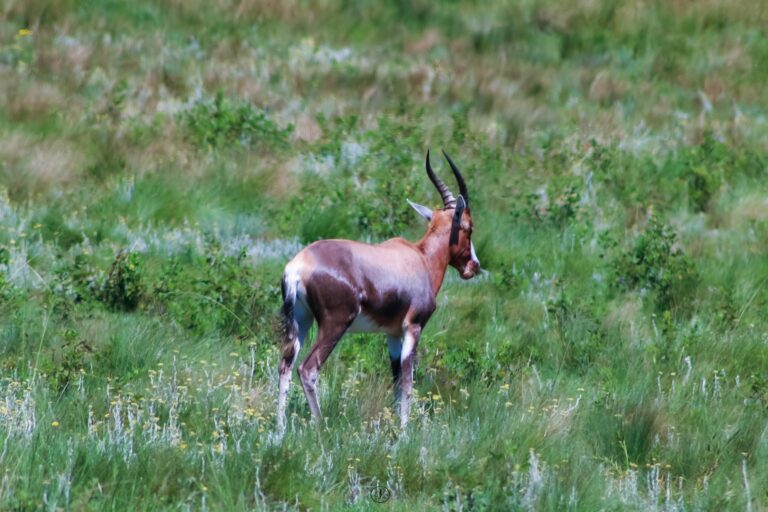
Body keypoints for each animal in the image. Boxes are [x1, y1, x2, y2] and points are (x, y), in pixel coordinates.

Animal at [276, 150, 480, 430]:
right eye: (469, 227)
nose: (474, 266)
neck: (420, 257)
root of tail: (298, 266)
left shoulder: (392, 334)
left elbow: (396, 380)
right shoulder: (413, 327)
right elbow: (408, 380)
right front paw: (405, 431)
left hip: (301, 321)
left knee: (285, 365)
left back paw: (279, 430)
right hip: (335, 324)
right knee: (307, 369)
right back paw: (320, 427)